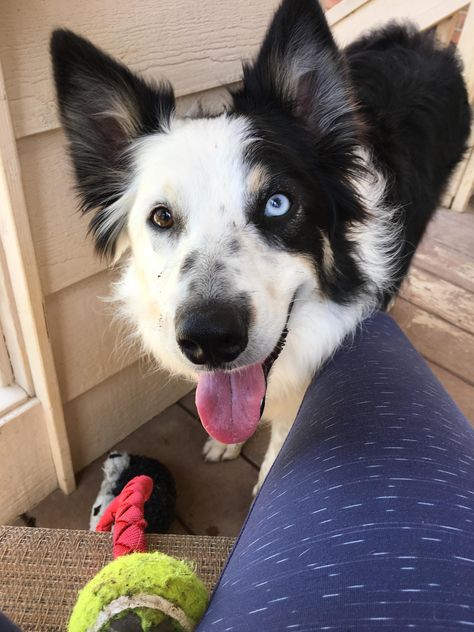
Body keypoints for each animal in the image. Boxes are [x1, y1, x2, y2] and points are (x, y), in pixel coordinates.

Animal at [49, 0, 470, 492]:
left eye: (277, 203)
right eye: (162, 217)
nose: (209, 340)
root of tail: (415, 37)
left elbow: (282, 434)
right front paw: (225, 442)